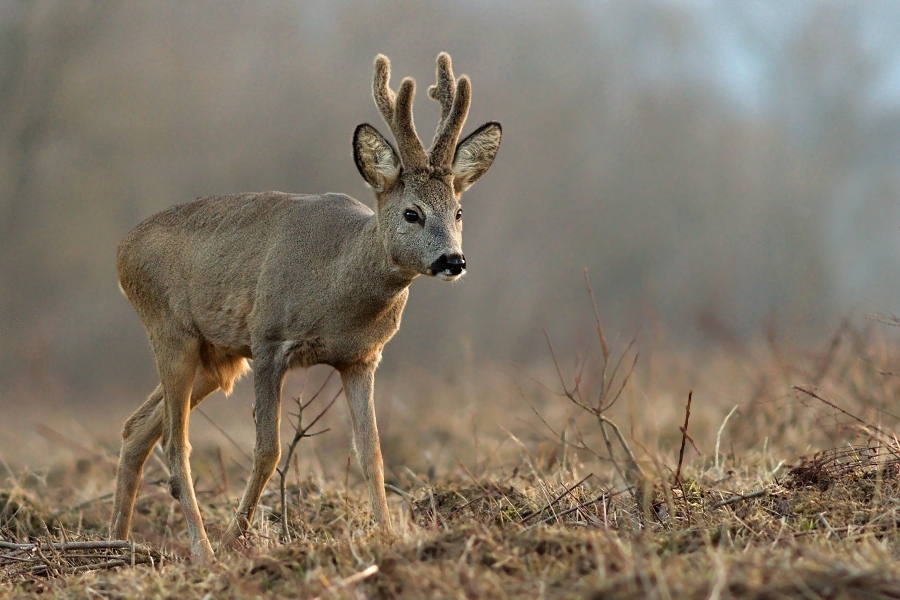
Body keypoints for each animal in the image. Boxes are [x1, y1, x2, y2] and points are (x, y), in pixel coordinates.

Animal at [110, 54, 502, 560]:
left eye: (458, 211)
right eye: (412, 213)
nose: (453, 260)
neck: (338, 289)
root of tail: (122, 251)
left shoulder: (361, 358)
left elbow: (372, 453)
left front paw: (388, 537)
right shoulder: (268, 340)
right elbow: (268, 450)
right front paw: (235, 538)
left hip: (216, 358)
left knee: (136, 429)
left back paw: (115, 544)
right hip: (170, 330)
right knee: (176, 446)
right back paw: (204, 551)